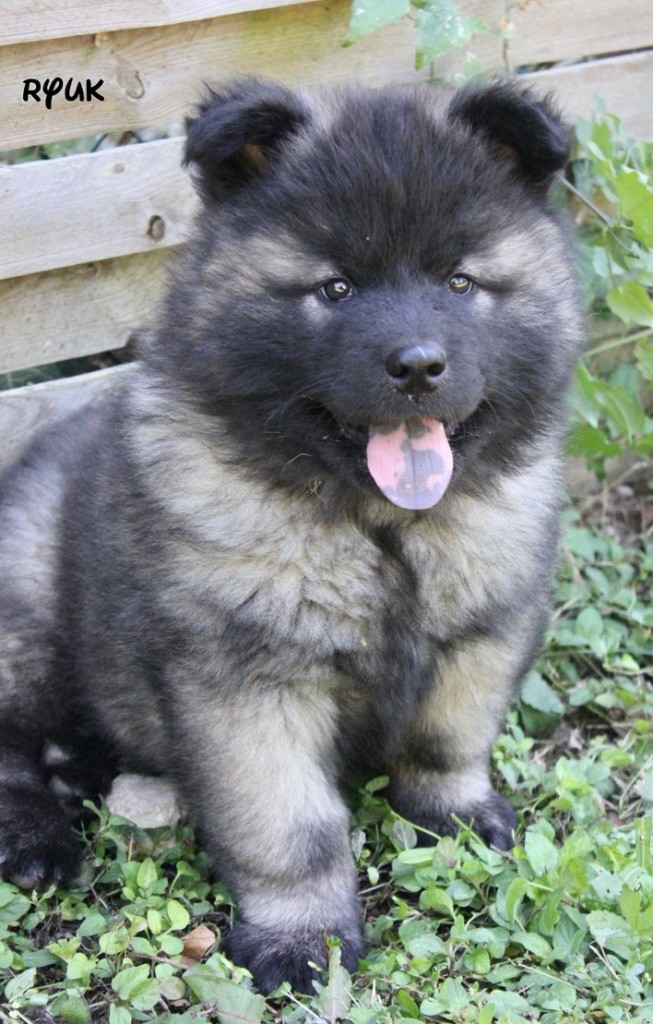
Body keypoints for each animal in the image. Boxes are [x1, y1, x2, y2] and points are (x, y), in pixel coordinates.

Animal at [0, 77, 581, 992]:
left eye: (459, 282)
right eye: (334, 289)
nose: (418, 366)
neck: (380, 529)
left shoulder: (481, 631)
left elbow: (448, 738)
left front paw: (452, 815)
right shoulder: (248, 684)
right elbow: (289, 827)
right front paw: (302, 937)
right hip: (24, 608)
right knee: (9, 747)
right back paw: (36, 836)